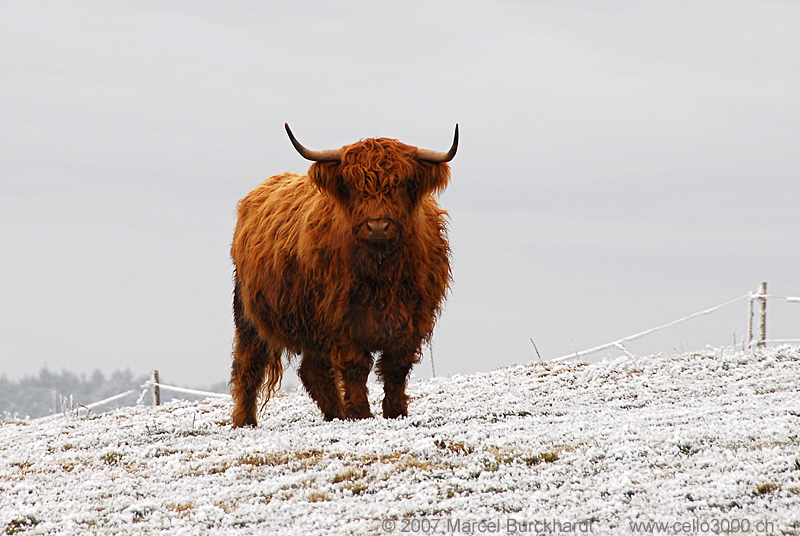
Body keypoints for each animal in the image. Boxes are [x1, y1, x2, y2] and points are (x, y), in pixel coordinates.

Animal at [231, 122, 456, 428]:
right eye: (353, 186)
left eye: (400, 184)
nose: (377, 226)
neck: (381, 274)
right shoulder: (341, 318)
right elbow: (355, 367)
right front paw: (360, 413)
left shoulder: (414, 318)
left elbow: (396, 368)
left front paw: (395, 412)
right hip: (249, 315)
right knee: (248, 365)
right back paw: (245, 420)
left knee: (312, 370)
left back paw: (334, 413)